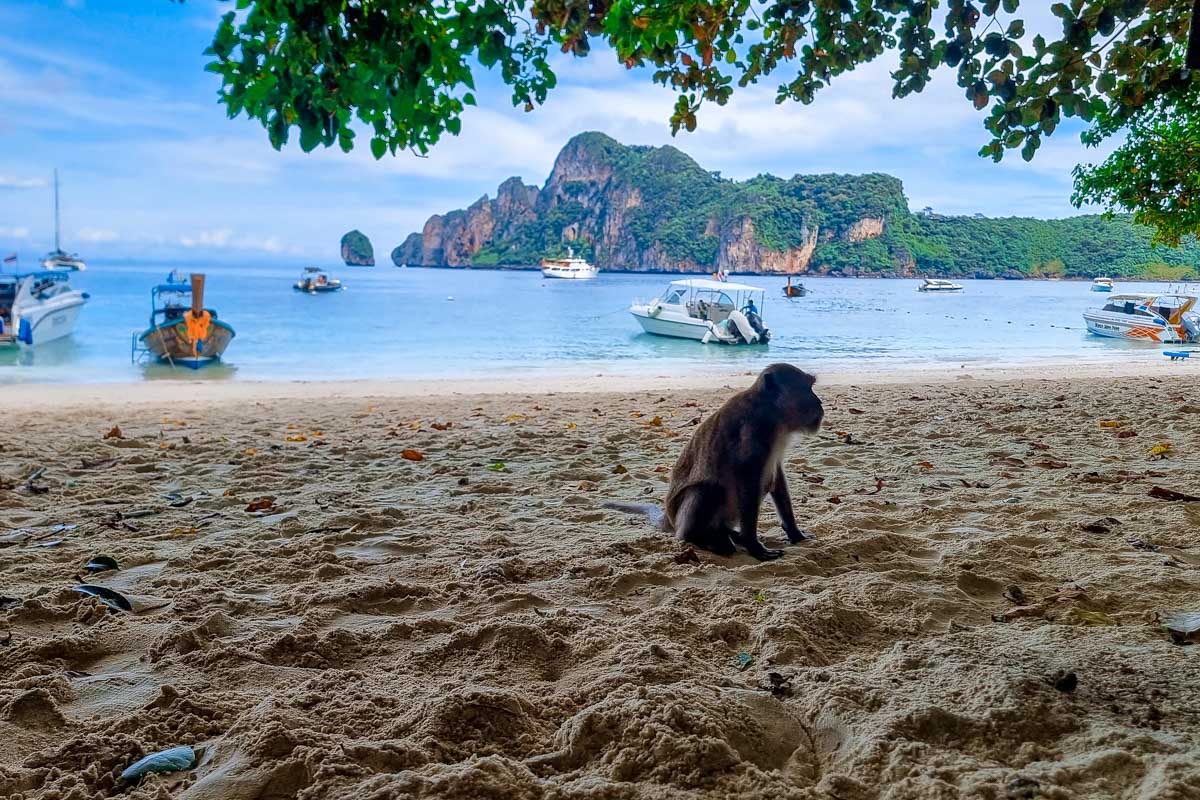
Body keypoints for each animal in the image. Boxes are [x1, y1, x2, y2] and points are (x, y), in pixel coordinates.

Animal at [605, 363, 824, 561]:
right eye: (808, 388)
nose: (820, 403)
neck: (772, 412)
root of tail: (669, 520)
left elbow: (776, 477)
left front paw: (795, 533)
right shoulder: (754, 432)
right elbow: (747, 479)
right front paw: (754, 545)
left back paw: (728, 534)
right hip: (686, 520)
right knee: (708, 489)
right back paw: (705, 539)